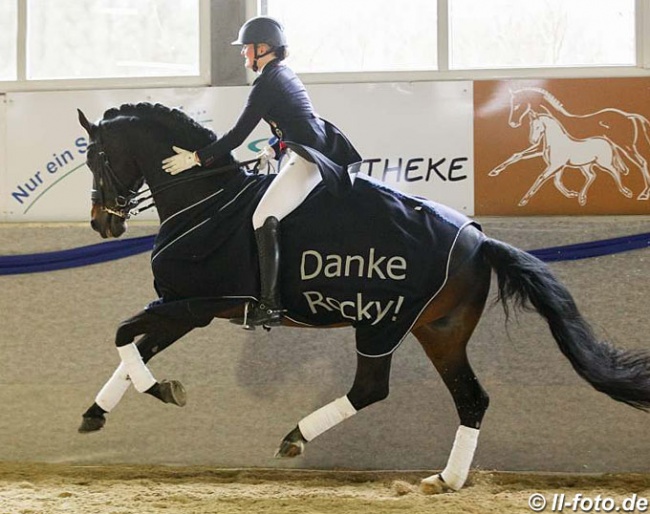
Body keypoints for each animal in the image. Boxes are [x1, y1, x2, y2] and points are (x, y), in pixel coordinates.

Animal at [77, 101, 648, 492]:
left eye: (96, 157)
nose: (103, 225)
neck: (205, 200)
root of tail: (478, 238)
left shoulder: (191, 305)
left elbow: (122, 337)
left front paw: (163, 390)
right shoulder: (187, 310)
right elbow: (131, 353)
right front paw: (95, 414)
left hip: (381, 323)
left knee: (372, 388)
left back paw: (297, 437)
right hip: (438, 330)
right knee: (471, 398)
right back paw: (447, 480)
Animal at [506, 87, 648, 199]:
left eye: (517, 105)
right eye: (512, 105)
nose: (512, 123)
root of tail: (628, 115)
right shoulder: (541, 149)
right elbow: (517, 155)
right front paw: (499, 170)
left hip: (626, 146)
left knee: (641, 163)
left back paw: (644, 193)